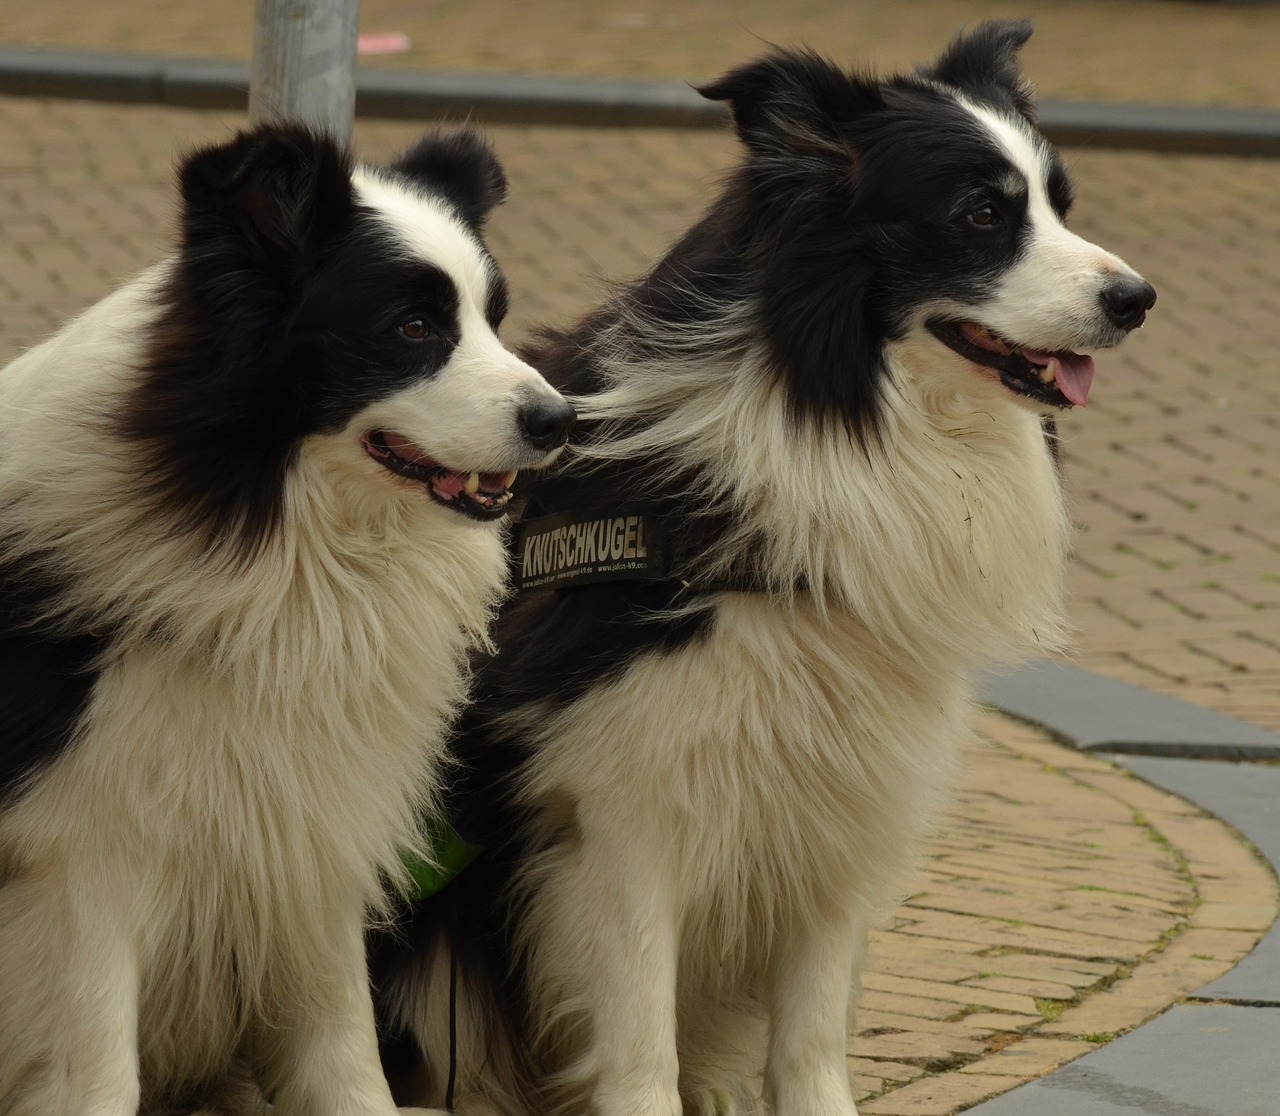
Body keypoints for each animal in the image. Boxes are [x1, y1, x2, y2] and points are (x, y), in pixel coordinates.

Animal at [0, 124, 573, 1116]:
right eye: (413, 328)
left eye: (493, 318)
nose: (560, 419)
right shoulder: (80, 859)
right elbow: (99, 1069)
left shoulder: (307, 829)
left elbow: (342, 1048)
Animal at [373, 21, 1162, 1116]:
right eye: (979, 214)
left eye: (1059, 205)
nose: (1137, 300)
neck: (824, 407)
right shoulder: (619, 803)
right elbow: (639, 1043)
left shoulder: (843, 790)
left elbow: (812, 1034)